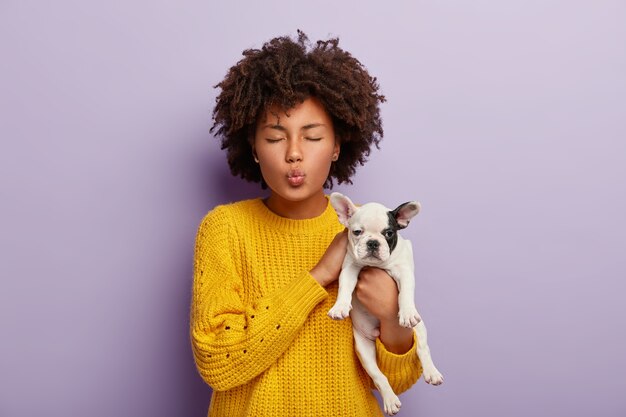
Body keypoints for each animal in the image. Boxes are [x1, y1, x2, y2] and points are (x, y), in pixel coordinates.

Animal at [326, 193, 444, 414]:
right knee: (379, 376)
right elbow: (345, 287)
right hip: (363, 348)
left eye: (389, 233)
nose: (373, 242)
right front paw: (340, 306)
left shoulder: (404, 270)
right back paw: (390, 400)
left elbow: (405, 293)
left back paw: (432, 372)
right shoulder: (350, 267)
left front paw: (406, 313)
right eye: (357, 232)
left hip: (420, 328)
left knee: (422, 348)